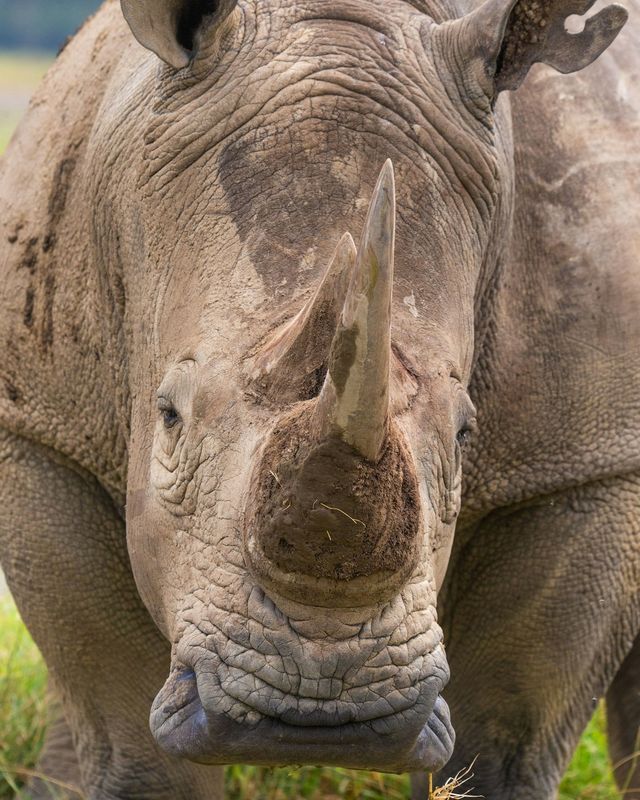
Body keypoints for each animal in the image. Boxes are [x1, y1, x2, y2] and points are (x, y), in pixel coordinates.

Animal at [1, 0, 639, 797]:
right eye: (169, 416)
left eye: (465, 434)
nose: (315, 712)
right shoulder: (42, 423)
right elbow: (127, 738)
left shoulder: (584, 462)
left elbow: (503, 747)